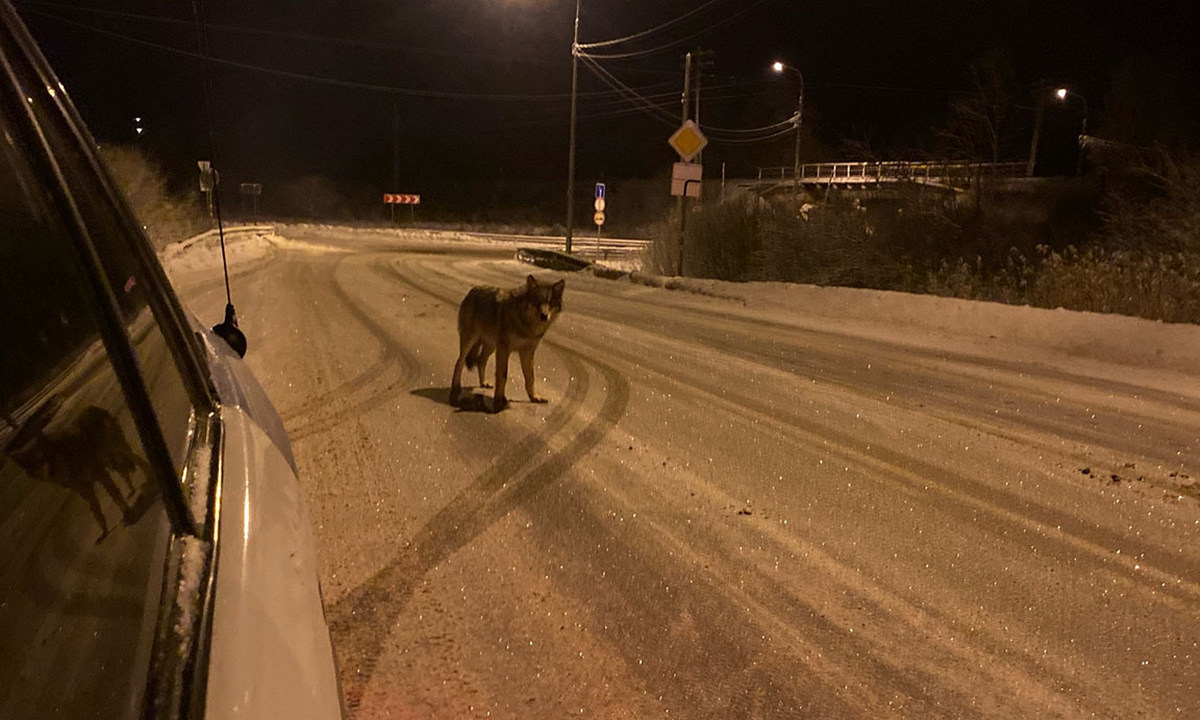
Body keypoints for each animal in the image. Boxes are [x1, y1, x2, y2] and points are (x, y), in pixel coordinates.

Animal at [451, 274, 566, 410]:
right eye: (537, 302)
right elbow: (503, 375)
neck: (525, 326)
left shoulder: (527, 352)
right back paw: (455, 389)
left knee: (481, 361)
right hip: (471, 341)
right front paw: (499, 401)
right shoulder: (504, 349)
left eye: (550, 303)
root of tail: (473, 290)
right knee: (459, 362)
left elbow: (530, 377)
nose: (544, 316)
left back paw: (484, 383)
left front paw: (534, 397)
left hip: (490, 347)